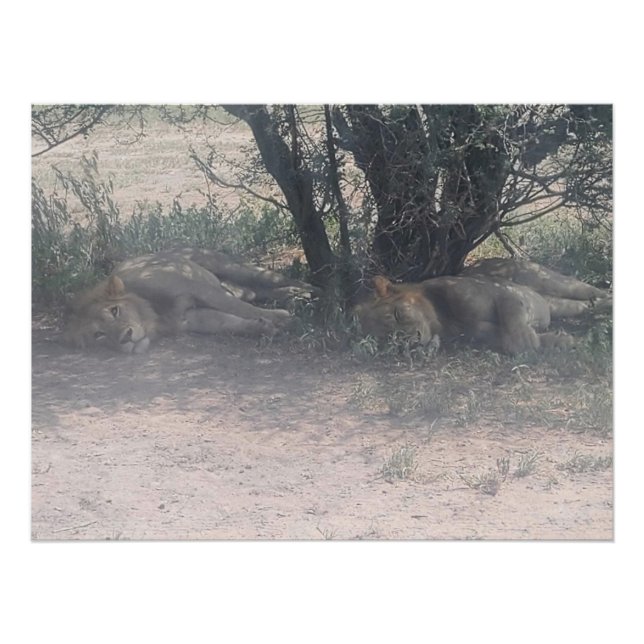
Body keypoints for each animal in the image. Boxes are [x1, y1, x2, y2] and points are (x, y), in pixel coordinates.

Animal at [62, 248, 317, 354]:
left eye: (115, 311)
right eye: (99, 335)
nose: (125, 338)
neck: (154, 315)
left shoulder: (198, 289)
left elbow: (238, 308)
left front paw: (282, 318)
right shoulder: (192, 319)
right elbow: (229, 323)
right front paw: (263, 327)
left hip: (232, 267)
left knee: (274, 280)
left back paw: (315, 291)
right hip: (241, 286)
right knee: (259, 293)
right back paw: (295, 296)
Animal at [354, 258, 611, 355]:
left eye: (399, 314)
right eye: (390, 340)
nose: (414, 341)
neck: (441, 319)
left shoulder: (502, 292)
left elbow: (514, 326)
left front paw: (528, 340)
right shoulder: (481, 333)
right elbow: (508, 340)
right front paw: (562, 340)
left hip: (552, 281)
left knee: (595, 291)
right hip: (557, 304)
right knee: (583, 305)